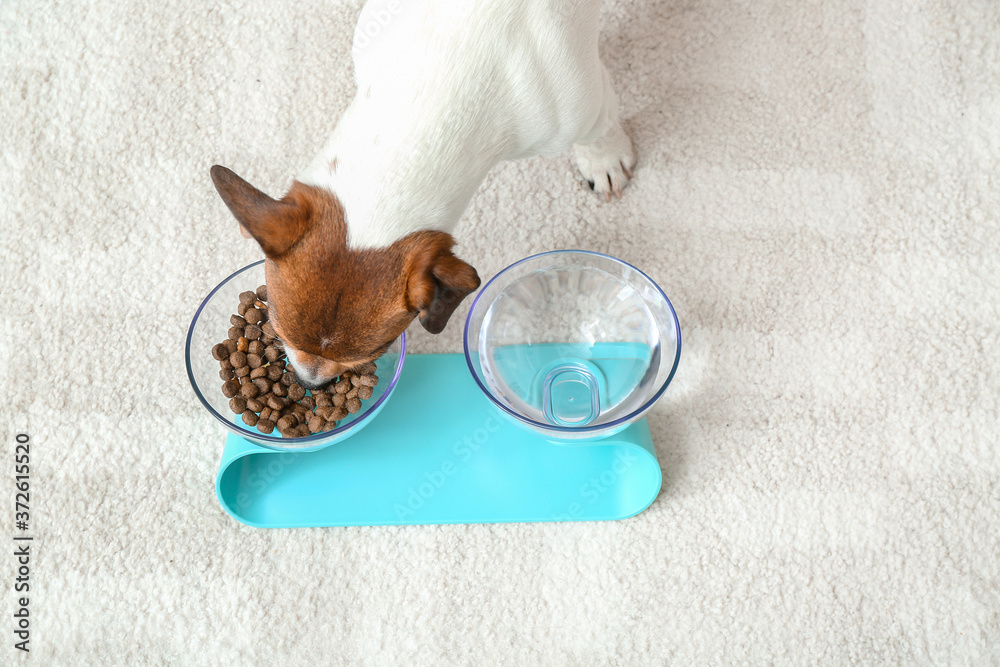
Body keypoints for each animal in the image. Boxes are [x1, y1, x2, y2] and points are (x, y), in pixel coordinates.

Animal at [211, 0, 636, 388]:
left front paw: (604, 160)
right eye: (276, 327)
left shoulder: (588, 108)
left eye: (372, 353)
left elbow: (600, 133)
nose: (309, 384)